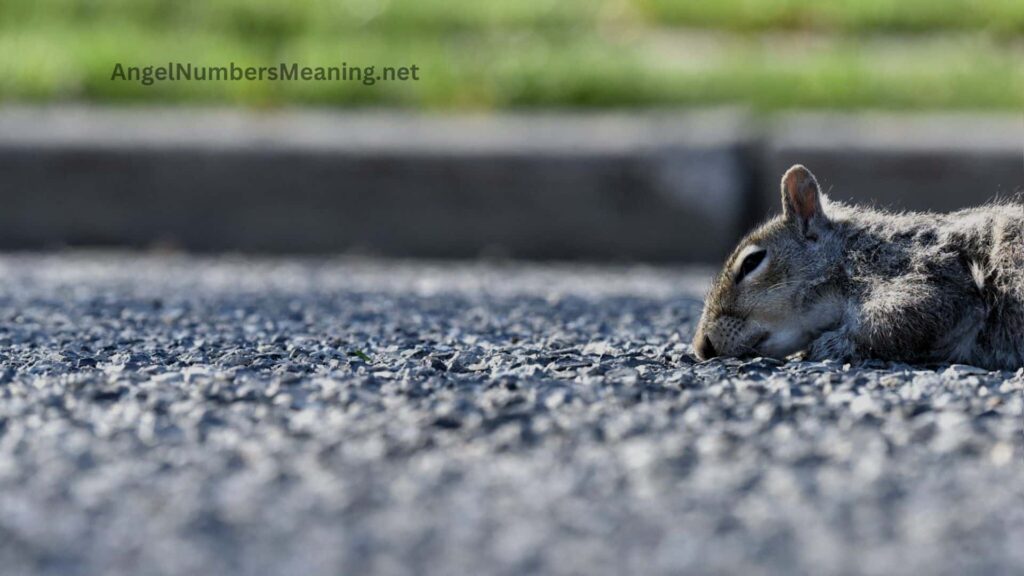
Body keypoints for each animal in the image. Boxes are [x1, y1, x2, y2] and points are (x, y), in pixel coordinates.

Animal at [692, 162, 1019, 366]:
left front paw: (828, 345)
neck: (852, 253)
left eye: (751, 263)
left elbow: (913, 314)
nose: (701, 347)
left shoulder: (930, 272)